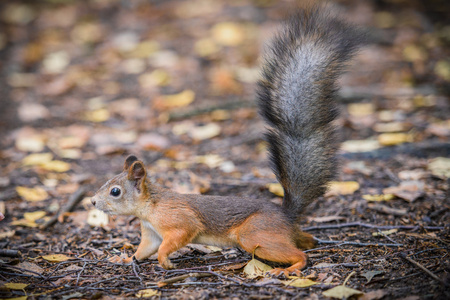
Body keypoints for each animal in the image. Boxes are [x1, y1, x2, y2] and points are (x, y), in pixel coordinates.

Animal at [90, 5, 362, 276]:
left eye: (115, 191)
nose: (92, 201)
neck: (150, 206)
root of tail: (285, 216)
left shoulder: (179, 221)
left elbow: (176, 238)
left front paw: (165, 260)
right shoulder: (151, 233)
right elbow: (143, 250)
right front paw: (125, 259)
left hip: (255, 234)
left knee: (300, 254)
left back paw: (287, 269)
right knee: (306, 241)